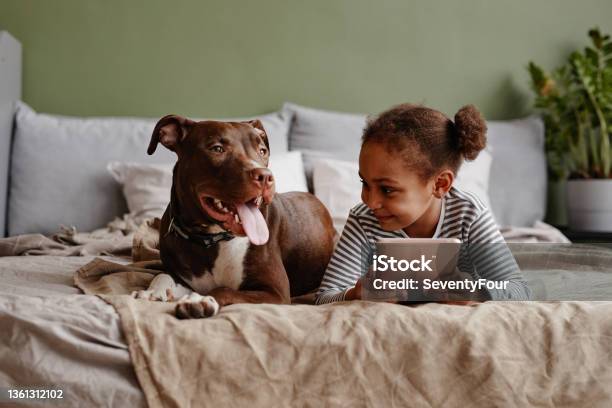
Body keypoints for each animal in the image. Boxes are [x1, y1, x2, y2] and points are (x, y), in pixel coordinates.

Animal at [133, 114, 334, 318]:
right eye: (217, 149)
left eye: (262, 151)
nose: (265, 176)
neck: (209, 240)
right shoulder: (179, 275)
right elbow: (162, 275)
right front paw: (153, 291)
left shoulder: (275, 292)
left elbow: (225, 290)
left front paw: (201, 300)